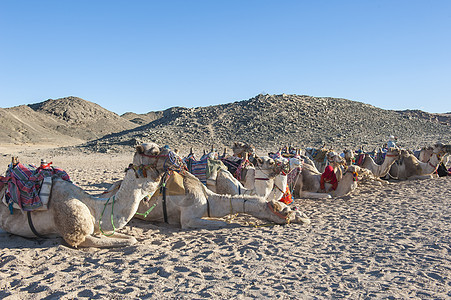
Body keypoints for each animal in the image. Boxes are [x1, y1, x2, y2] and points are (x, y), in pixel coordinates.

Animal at [0, 143, 184, 248]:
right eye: (154, 151)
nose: (177, 157)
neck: (94, 208)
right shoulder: (76, 235)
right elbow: (129, 241)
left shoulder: (99, 228)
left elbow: (129, 238)